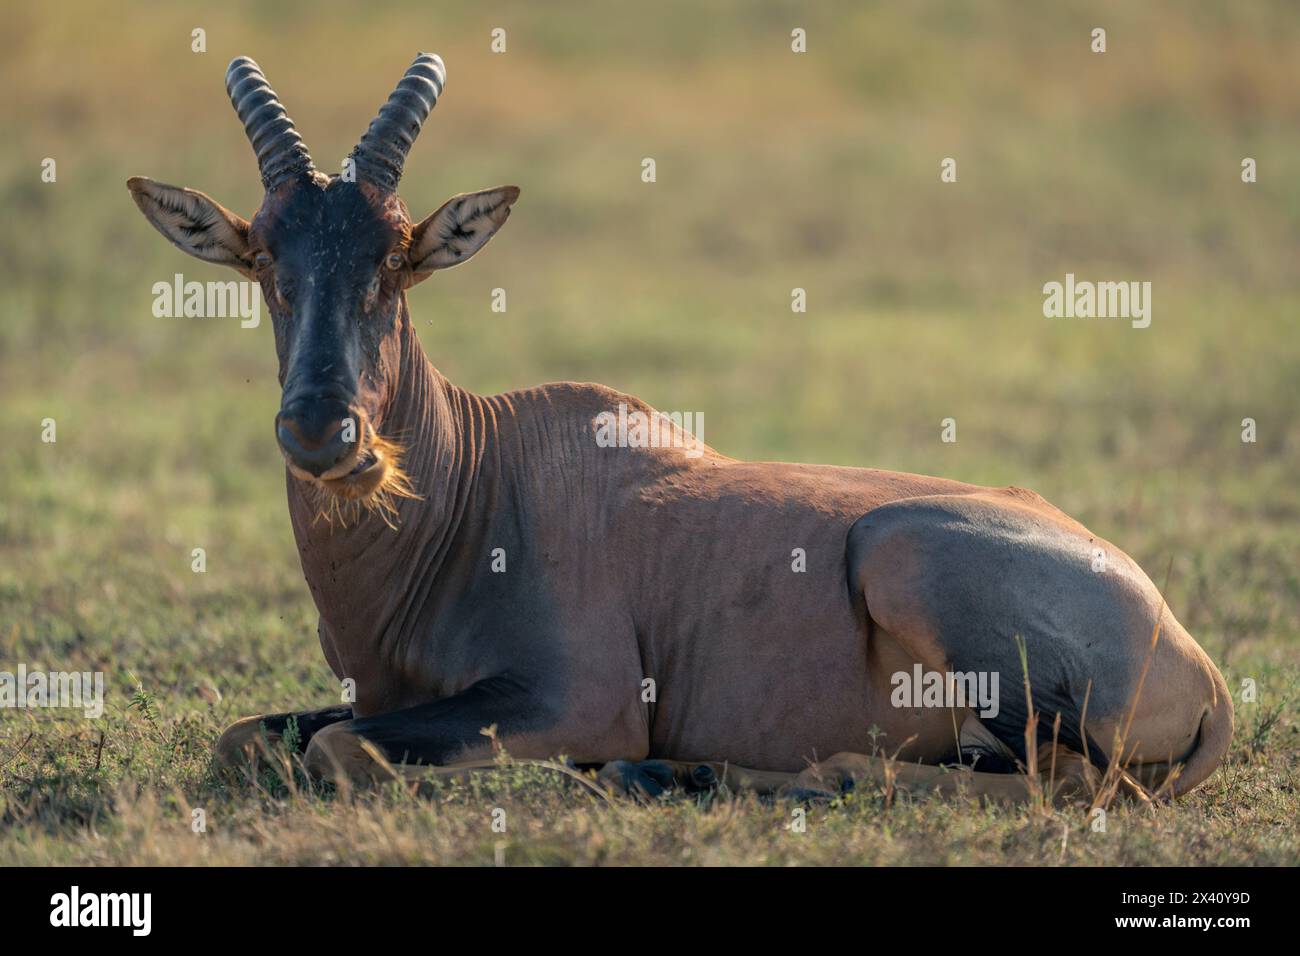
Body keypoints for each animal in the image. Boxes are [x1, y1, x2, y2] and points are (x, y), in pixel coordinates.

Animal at [126, 52, 1232, 801]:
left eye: (399, 256)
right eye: (262, 257)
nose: (325, 434)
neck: (483, 477)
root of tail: (1194, 656)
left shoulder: (579, 697)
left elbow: (338, 750)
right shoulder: (379, 694)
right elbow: (251, 736)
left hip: (901, 560)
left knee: (1056, 777)